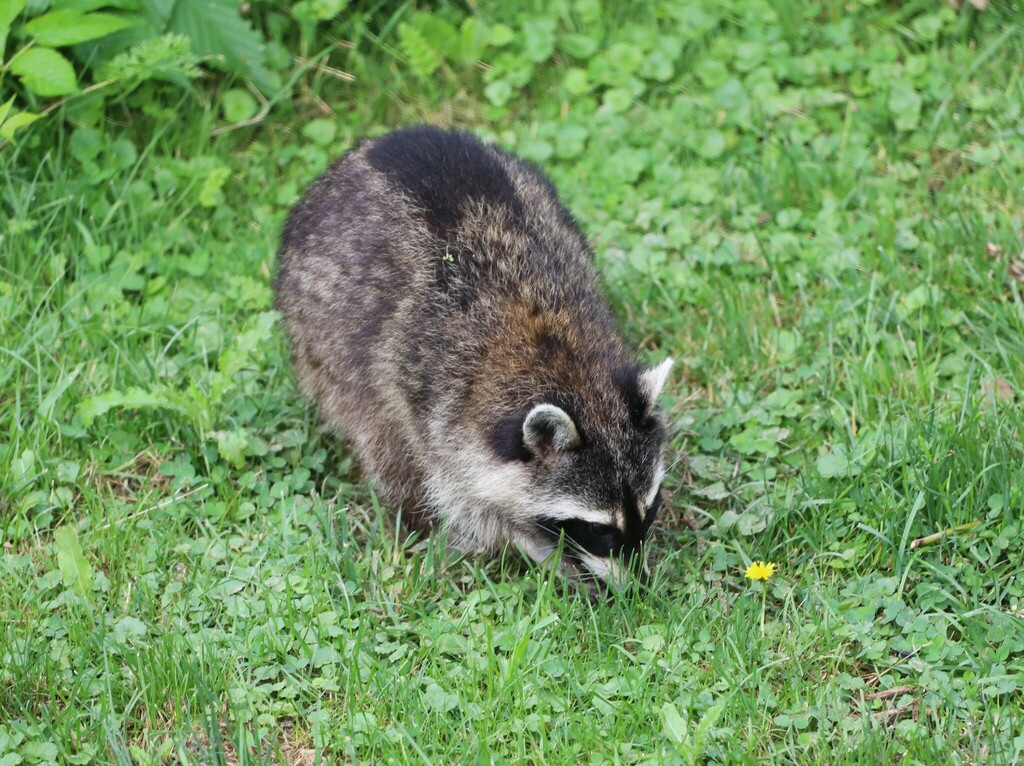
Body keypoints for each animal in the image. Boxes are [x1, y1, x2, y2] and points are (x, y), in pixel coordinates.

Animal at [274, 125, 672, 592]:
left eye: (650, 507)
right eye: (597, 529)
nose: (638, 589)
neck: (564, 362)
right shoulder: (437, 407)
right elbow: (467, 501)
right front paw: (539, 548)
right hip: (318, 333)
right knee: (378, 435)